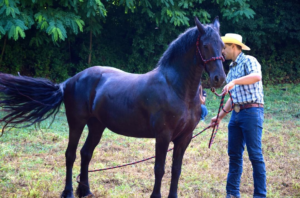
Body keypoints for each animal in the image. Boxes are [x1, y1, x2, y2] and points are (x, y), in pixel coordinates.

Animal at [0, 17, 225, 198]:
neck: (175, 88)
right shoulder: (163, 136)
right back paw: (69, 192)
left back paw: (86, 191)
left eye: (222, 46)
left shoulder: (184, 137)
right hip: (76, 123)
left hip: (97, 126)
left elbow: (176, 170)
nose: (219, 78)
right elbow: (159, 169)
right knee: (70, 155)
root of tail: (70, 81)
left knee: (85, 154)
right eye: (205, 45)